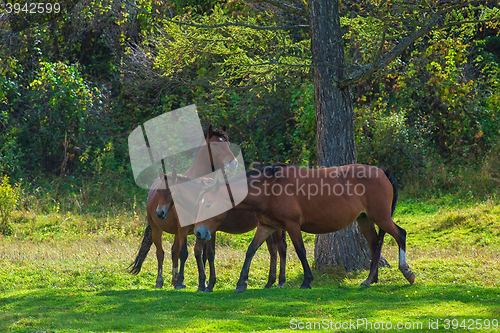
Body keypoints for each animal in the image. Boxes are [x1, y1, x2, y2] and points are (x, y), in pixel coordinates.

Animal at [193, 163, 416, 290]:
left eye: (209, 205)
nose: (199, 232)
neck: (270, 189)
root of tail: (382, 172)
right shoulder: (266, 226)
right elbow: (250, 251)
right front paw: (241, 283)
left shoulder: (292, 226)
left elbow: (300, 251)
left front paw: (307, 281)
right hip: (365, 219)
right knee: (375, 244)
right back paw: (370, 279)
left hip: (380, 217)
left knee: (400, 235)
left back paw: (406, 272)